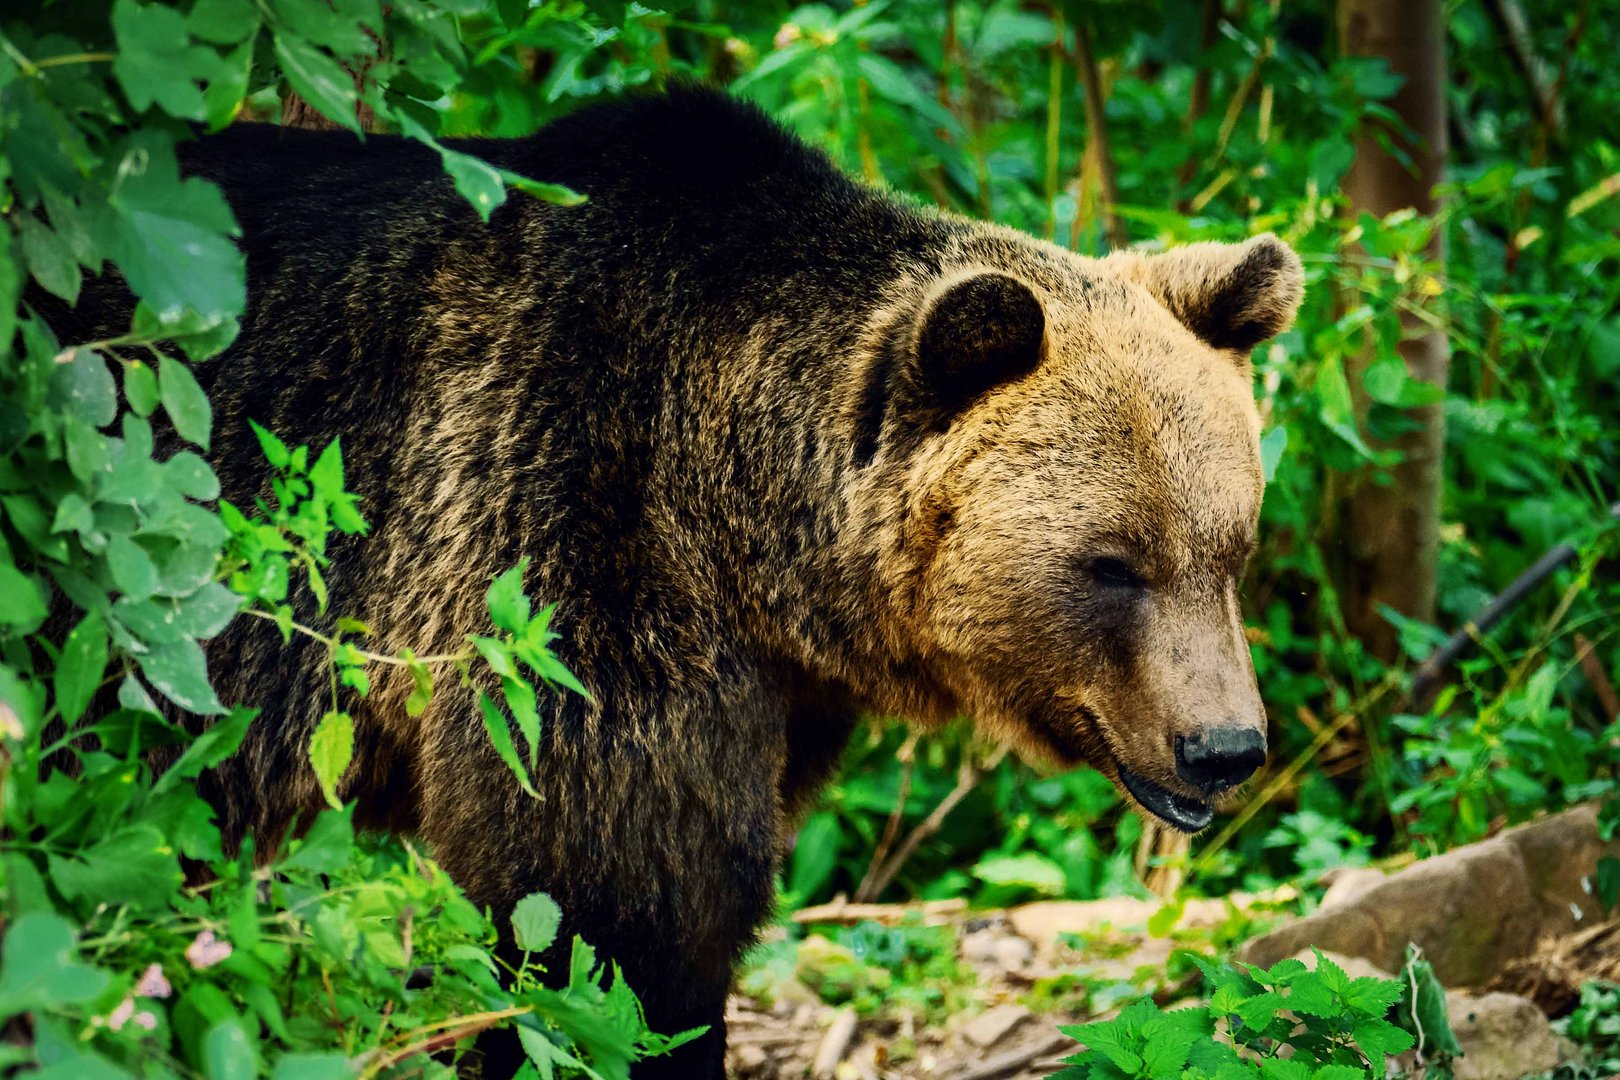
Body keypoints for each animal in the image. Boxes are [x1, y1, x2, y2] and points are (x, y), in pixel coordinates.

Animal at [50, 84, 1302, 1075]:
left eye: (1228, 547)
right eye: (1110, 565)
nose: (1225, 747)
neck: (743, 521)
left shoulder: (778, 687)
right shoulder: (563, 545)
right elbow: (606, 910)